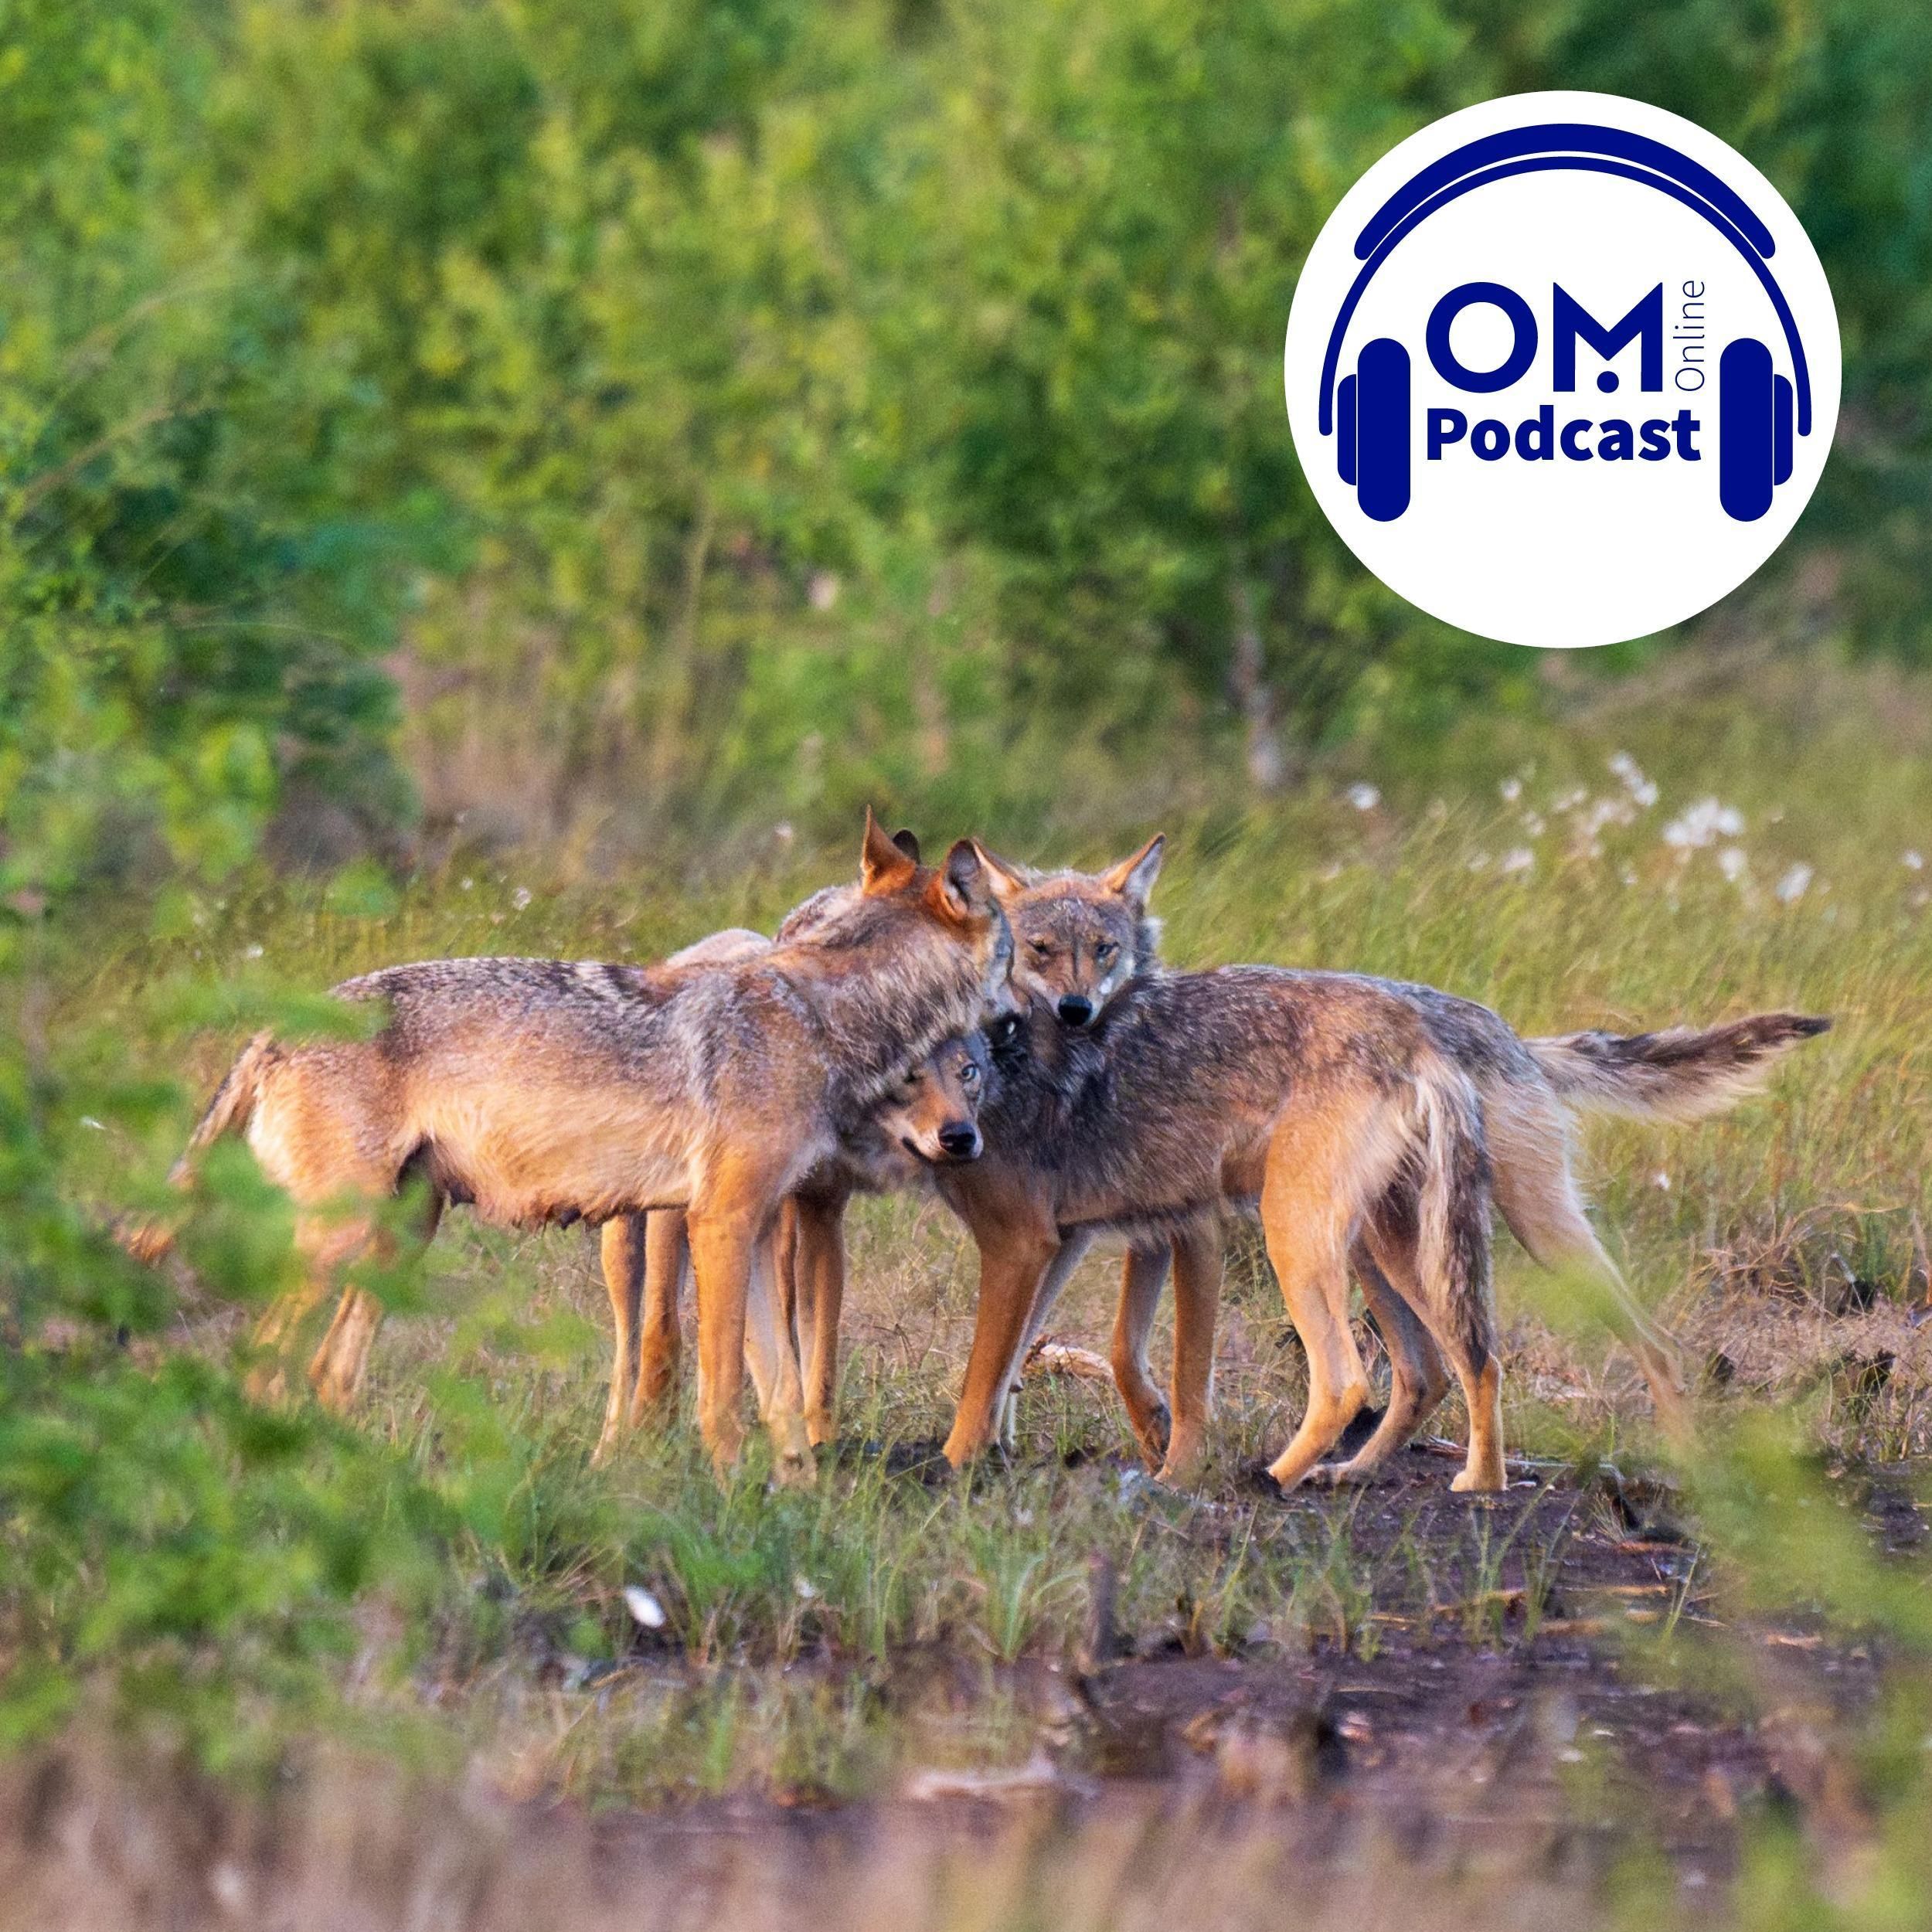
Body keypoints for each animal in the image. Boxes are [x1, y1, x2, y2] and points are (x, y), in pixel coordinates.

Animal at [139, 814, 1012, 1479]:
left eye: (964, 1070)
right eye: (1010, 949)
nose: (1020, 1021)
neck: (818, 1019)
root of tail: (273, 1027)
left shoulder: (763, 1228)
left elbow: (783, 1396)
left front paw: (795, 1505)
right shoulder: (720, 1223)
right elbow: (725, 1396)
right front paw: (732, 1500)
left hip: (403, 1236)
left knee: (328, 1374)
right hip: (343, 1239)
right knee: (263, 1364)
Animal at [933, 840, 1828, 1493]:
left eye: (1103, 949)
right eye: (1041, 950)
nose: (1077, 1011)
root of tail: (1491, 1033)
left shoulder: (1187, 1232)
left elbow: (1162, 1371)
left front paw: (1165, 1464)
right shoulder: (1099, 1236)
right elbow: (1064, 1355)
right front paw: (1042, 1440)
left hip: (1365, 1237)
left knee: (1394, 1373)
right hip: (1389, 1245)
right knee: (1450, 1367)